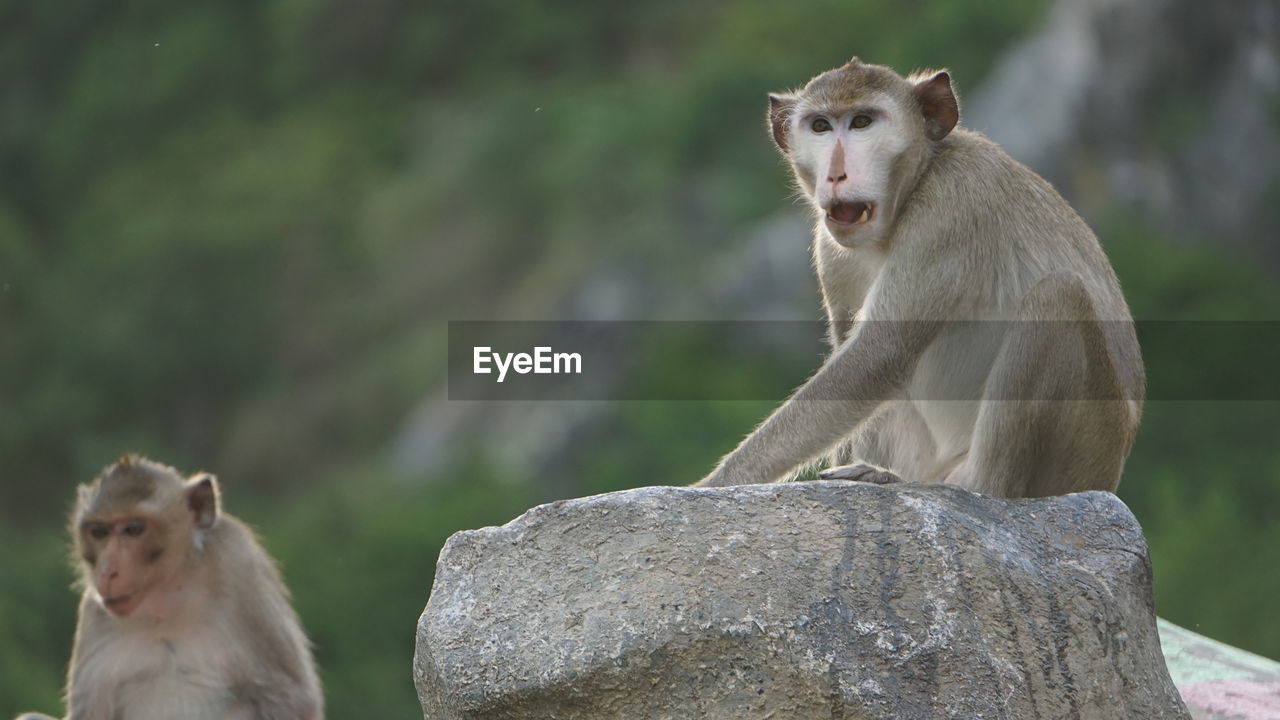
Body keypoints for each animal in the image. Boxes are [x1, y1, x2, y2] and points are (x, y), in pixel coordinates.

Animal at [13, 453, 322, 717]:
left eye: (134, 529)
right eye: (98, 532)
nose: (108, 571)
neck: (167, 598)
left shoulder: (240, 566)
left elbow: (290, 697)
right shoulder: (94, 611)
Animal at [696, 56, 1146, 497]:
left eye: (862, 122)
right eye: (820, 126)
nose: (836, 174)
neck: (917, 180)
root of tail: (1111, 475)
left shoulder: (951, 208)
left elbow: (877, 356)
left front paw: (717, 481)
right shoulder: (830, 250)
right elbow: (856, 356)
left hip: (1086, 449)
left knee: (1059, 294)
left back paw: (980, 485)